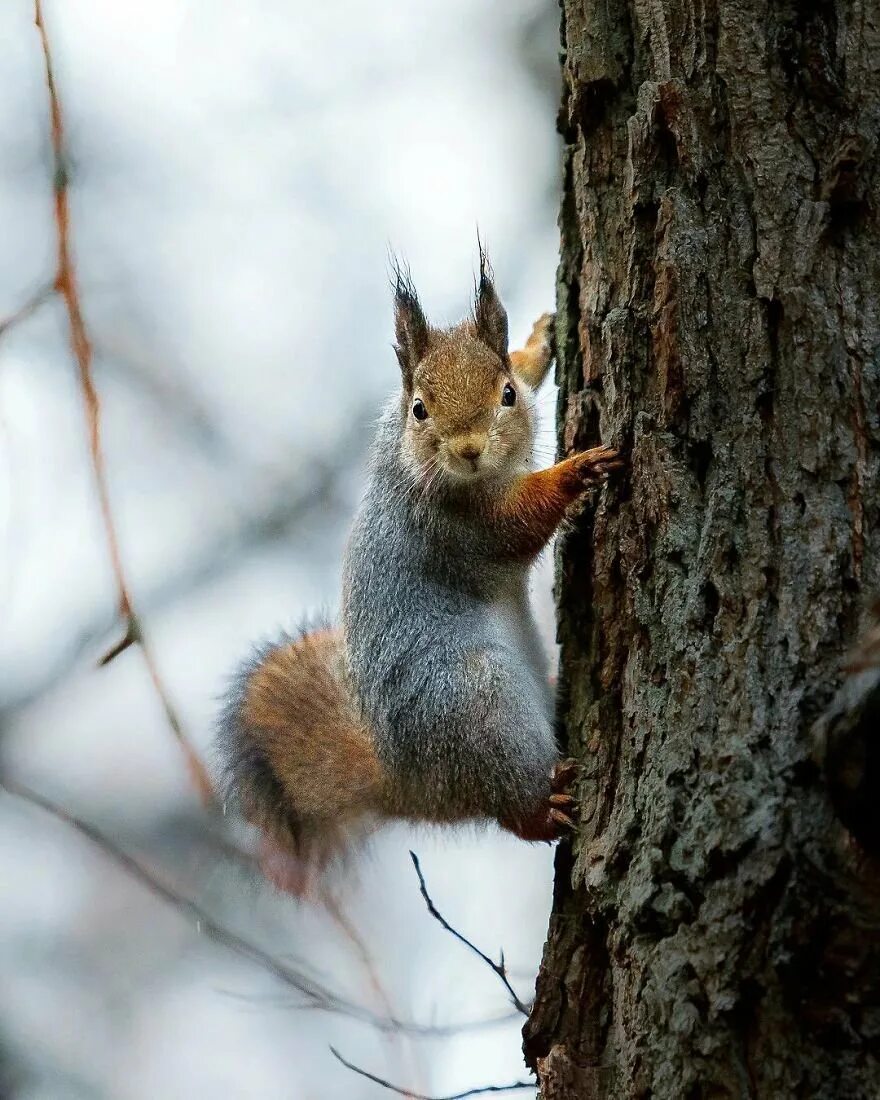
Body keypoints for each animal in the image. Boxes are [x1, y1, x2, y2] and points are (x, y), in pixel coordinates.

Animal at [216, 253, 620, 897]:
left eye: (506, 393)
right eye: (420, 409)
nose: (468, 450)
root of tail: (409, 782)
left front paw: (538, 341)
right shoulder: (454, 527)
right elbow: (519, 521)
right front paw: (574, 471)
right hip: (479, 705)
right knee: (513, 811)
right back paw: (546, 804)